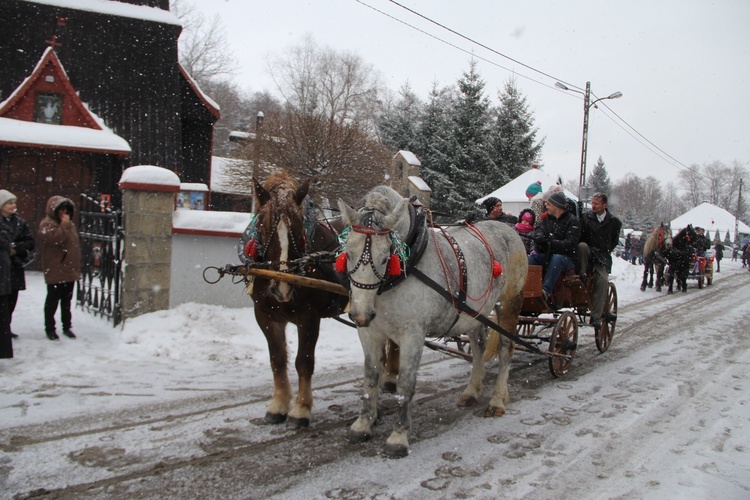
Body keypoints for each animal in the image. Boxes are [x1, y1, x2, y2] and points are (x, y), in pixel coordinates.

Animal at [247, 171, 352, 426]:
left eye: (297, 227)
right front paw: (278, 405)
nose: (282, 288)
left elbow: (303, 361)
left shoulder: (309, 316)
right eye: (263, 226)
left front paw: (301, 409)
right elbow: (277, 359)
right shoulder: (264, 315)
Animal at [340, 187, 528, 458]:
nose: (360, 314)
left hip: (509, 302)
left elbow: (405, 384)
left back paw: (497, 400)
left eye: (386, 257)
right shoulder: (370, 332)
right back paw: (472, 391)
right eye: (348, 252)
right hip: (474, 314)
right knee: (479, 348)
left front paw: (398, 437)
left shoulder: (413, 333)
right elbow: (370, 376)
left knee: (505, 349)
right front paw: (363, 424)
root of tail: (508, 229)